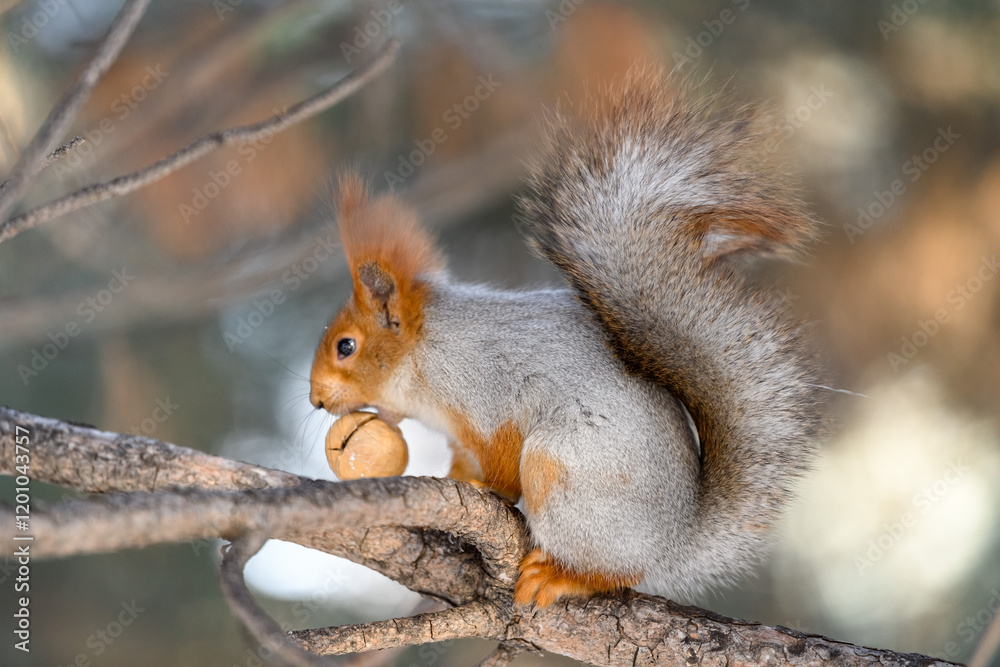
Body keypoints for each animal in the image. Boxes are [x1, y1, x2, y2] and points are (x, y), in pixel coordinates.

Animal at [309, 71, 827, 608]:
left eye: (346, 346)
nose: (315, 399)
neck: (422, 356)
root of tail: (674, 545)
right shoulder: (460, 433)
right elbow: (464, 461)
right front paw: (458, 481)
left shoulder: (487, 392)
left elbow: (501, 459)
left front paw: (490, 491)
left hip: (561, 468)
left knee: (611, 569)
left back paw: (562, 576)